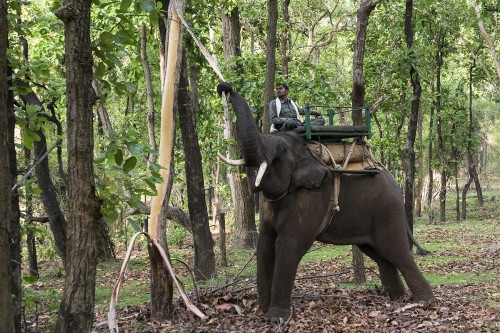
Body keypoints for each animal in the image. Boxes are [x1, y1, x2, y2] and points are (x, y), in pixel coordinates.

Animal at [216, 81, 434, 320]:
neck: (304, 147)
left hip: (388, 211)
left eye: (281, 150)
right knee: (378, 253)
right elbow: (265, 243)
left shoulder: (314, 195)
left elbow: (289, 243)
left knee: (396, 251)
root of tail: (393, 180)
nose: (224, 87)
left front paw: (276, 317)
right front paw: (263, 311)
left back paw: (424, 301)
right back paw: (395, 298)